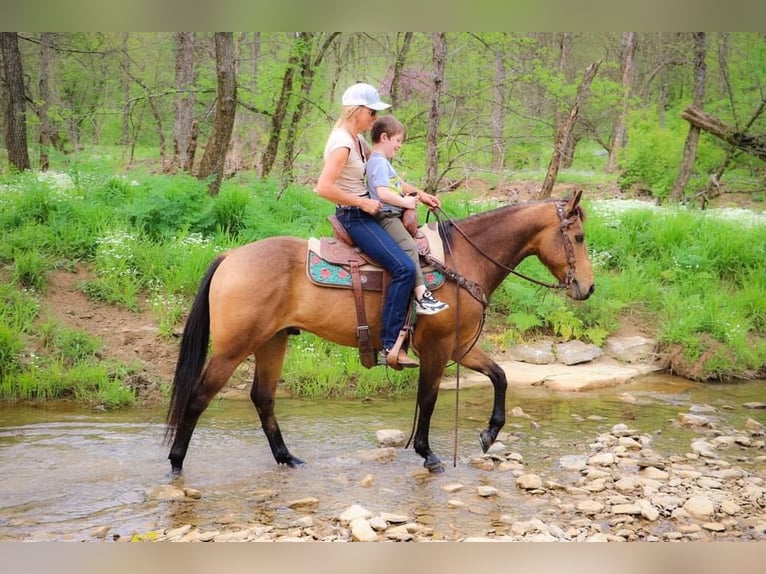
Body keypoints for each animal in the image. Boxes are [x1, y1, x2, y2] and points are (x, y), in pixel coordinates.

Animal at [165, 191, 596, 474]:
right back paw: (176, 462)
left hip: (273, 340)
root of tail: (229, 256)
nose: (588, 288)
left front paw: (489, 434)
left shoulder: (460, 347)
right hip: (234, 347)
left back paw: (287, 458)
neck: (463, 261)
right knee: (199, 396)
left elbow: (500, 376)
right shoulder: (436, 349)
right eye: (578, 237)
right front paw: (427, 453)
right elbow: (428, 399)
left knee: (263, 398)